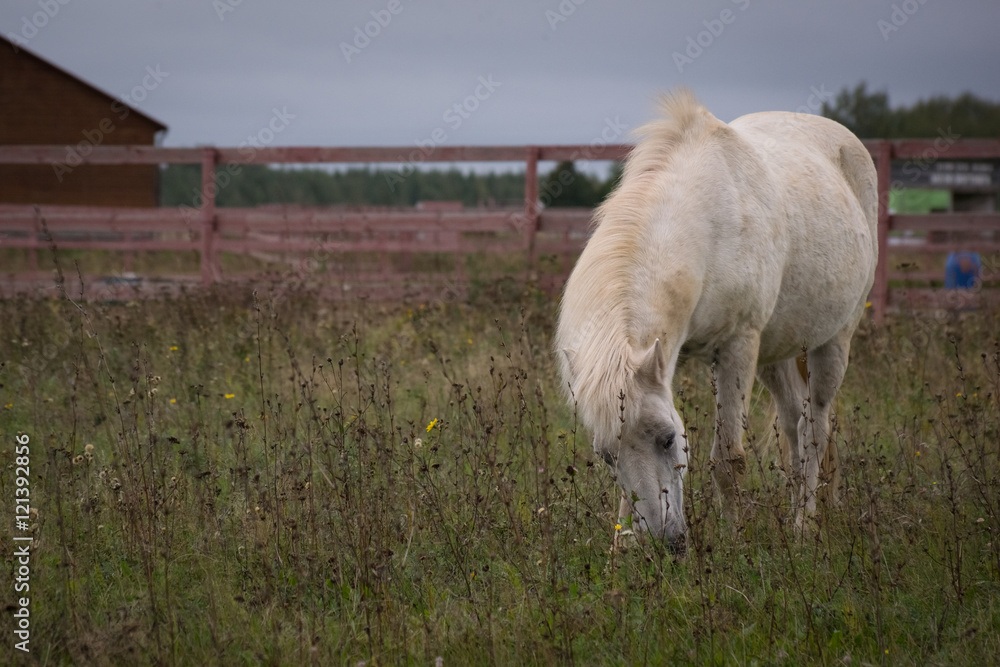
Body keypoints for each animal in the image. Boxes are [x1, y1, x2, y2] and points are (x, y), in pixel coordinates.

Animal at [555, 90, 877, 550]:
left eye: (668, 439)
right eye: (606, 455)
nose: (664, 544)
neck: (708, 228)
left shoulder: (736, 347)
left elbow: (728, 460)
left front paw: (736, 543)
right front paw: (621, 546)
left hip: (832, 343)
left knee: (813, 428)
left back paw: (804, 526)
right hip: (776, 353)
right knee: (794, 425)